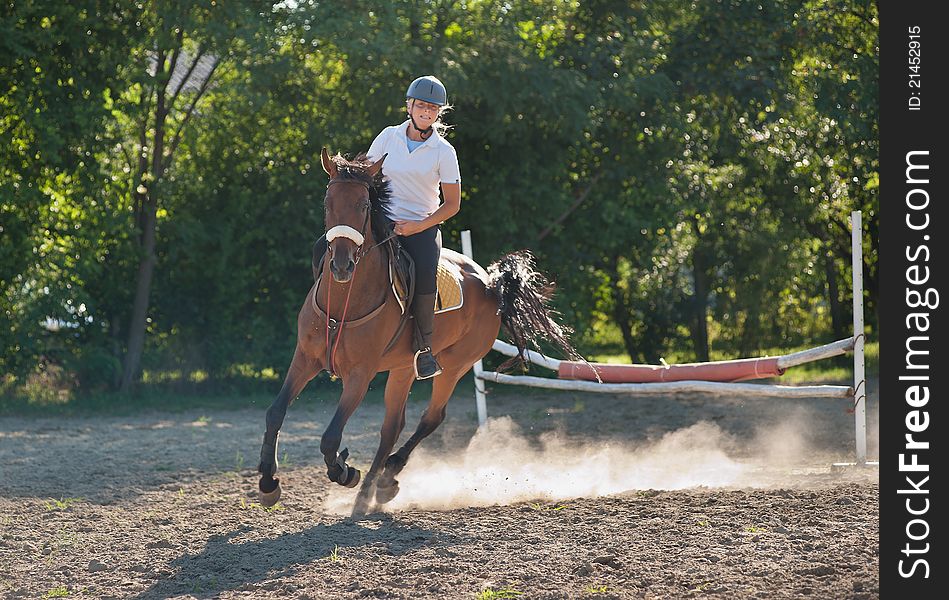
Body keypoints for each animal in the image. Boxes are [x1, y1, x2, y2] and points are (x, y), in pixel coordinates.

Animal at [258, 149, 576, 516]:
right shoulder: (305, 359)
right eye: (327, 203)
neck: (344, 304)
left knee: (431, 417)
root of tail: (491, 283)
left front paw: (345, 471)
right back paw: (373, 490)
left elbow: (330, 438)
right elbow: (275, 412)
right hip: (401, 368)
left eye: (363, 206)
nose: (341, 265)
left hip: (455, 365)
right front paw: (267, 483)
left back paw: (381, 482)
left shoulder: (360, 375)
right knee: (391, 427)